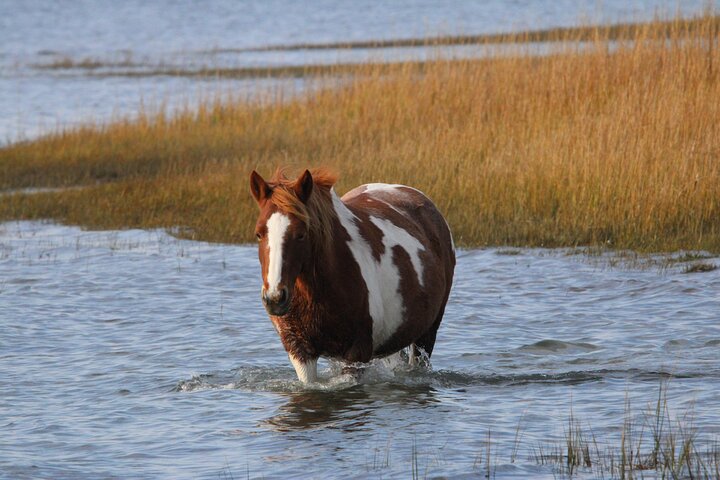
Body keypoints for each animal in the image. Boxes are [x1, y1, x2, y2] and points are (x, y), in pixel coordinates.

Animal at [249, 168, 455, 383]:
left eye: (301, 234)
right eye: (259, 234)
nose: (275, 298)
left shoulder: (357, 353)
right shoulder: (300, 351)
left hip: (427, 334)